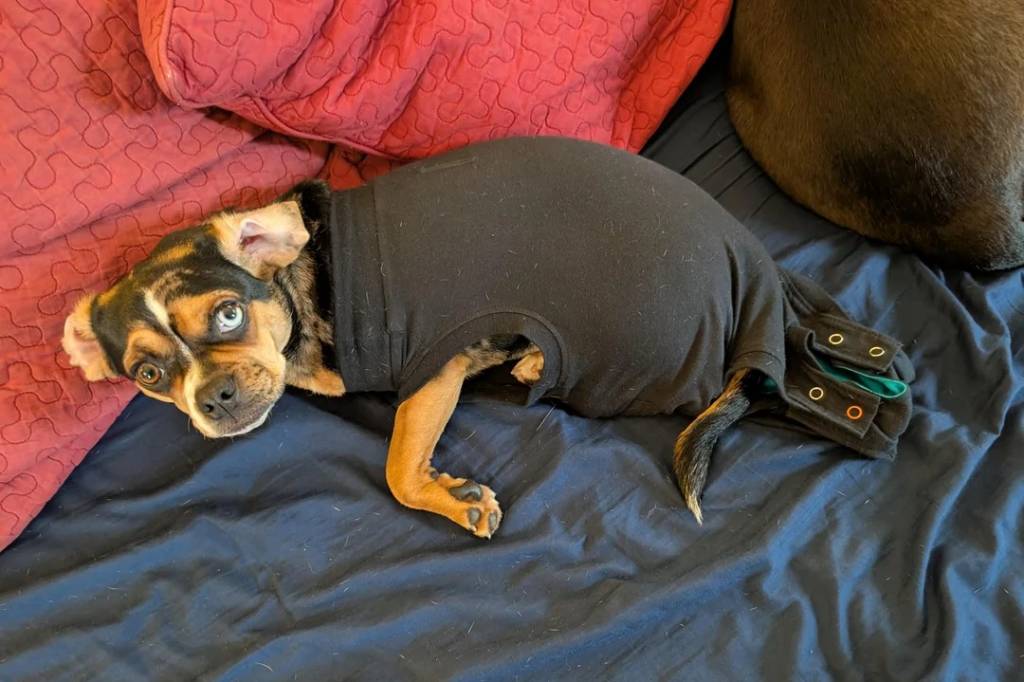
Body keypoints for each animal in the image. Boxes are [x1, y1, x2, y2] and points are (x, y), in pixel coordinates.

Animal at [63, 137, 913, 538]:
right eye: (147, 375)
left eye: (227, 316)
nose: (215, 397)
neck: (304, 286)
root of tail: (754, 293)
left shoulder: (441, 360)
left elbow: (399, 465)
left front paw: (454, 497)